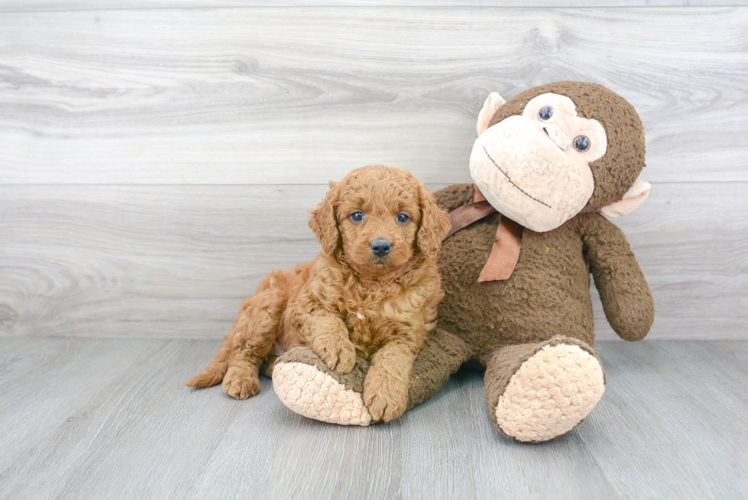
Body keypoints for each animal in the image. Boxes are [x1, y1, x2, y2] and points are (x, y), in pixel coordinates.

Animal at [187, 165, 450, 422]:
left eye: (402, 217)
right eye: (357, 215)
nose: (381, 246)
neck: (372, 283)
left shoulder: (408, 331)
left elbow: (393, 359)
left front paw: (386, 396)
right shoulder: (306, 303)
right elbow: (327, 321)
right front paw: (339, 349)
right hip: (268, 307)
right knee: (242, 352)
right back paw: (240, 379)